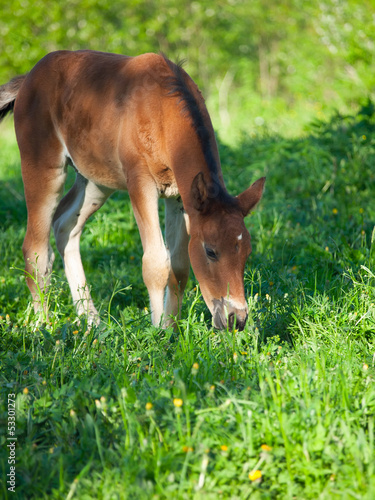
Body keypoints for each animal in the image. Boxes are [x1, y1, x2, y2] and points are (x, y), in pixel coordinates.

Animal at [0, 50, 264, 332]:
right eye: (211, 251)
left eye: (247, 252)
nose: (237, 319)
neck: (162, 112)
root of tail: (28, 78)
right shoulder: (141, 183)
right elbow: (155, 262)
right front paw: (157, 331)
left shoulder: (179, 196)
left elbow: (179, 267)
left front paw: (171, 329)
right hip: (43, 166)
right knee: (35, 249)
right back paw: (43, 326)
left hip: (96, 180)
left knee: (64, 225)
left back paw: (92, 321)